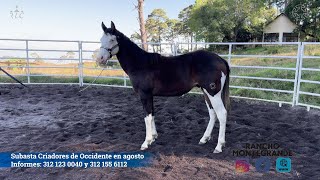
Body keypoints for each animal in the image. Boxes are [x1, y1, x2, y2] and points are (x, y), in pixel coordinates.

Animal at [96, 21, 229, 153]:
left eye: (112, 39)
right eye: (101, 39)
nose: (100, 59)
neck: (140, 64)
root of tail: (220, 59)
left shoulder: (144, 95)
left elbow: (147, 117)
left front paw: (146, 142)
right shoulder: (149, 95)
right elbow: (152, 115)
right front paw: (153, 137)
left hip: (213, 92)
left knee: (222, 114)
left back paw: (219, 146)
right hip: (206, 92)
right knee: (213, 113)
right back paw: (204, 139)